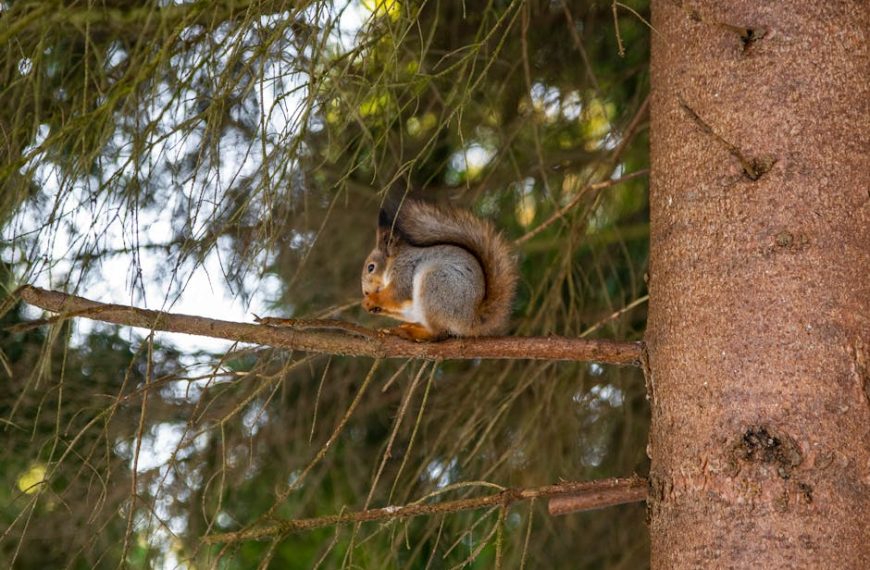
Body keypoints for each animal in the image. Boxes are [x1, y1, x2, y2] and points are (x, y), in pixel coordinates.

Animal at [361, 198, 518, 341]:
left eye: (371, 267)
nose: (366, 292)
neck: (393, 262)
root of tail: (470, 321)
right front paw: (372, 305)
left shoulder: (404, 271)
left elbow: (397, 293)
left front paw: (370, 299)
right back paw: (409, 326)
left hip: (435, 286)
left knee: (438, 333)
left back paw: (411, 333)